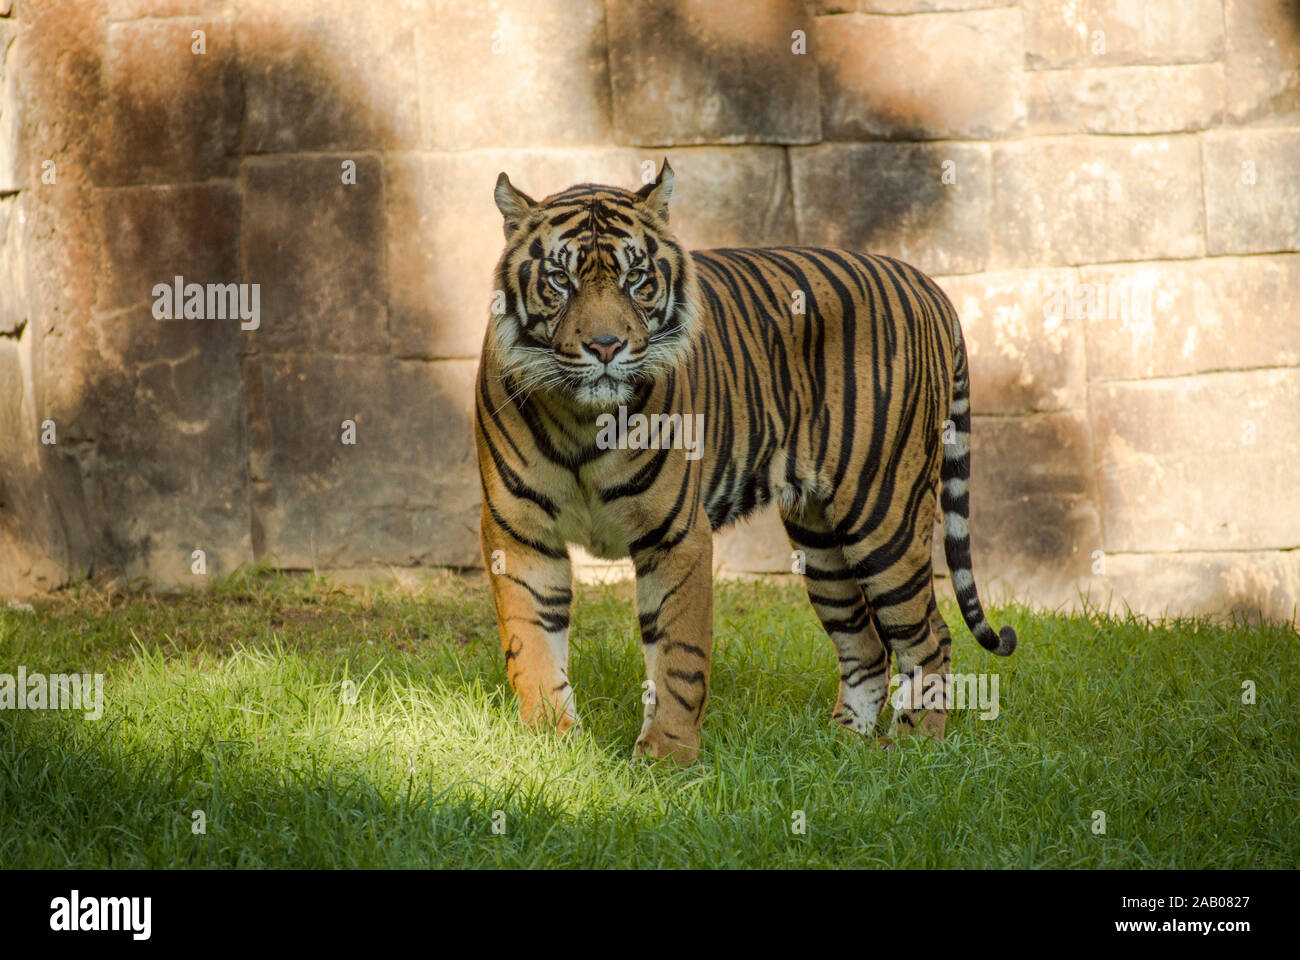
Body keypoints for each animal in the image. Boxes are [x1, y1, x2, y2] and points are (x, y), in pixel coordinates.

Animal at [475, 162, 1013, 764]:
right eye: (560, 280)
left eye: (635, 278)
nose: (606, 346)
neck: (582, 420)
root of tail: (925, 280)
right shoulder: (519, 532)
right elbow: (531, 644)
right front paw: (551, 743)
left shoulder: (675, 534)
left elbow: (678, 656)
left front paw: (665, 759)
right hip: (820, 538)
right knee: (867, 646)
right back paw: (841, 746)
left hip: (883, 514)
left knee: (929, 637)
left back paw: (913, 750)